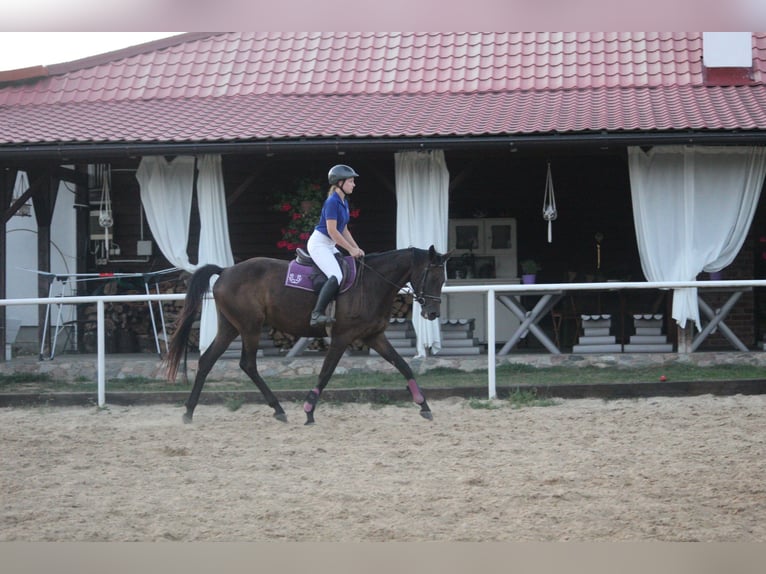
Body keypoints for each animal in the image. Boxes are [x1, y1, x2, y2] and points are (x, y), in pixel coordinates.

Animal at [165, 245, 448, 426]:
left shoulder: (374, 336)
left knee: (207, 361)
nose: (433, 313)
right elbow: (325, 373)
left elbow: (403, 365)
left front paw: (423, 404)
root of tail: (225, 271)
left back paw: (189, 412)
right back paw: (277, 409)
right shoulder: (342, 337)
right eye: (431, 277)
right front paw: (309, 411)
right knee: (247, 364)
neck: (372, 283)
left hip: (230, 327)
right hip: (250, 327)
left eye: (443, 279)